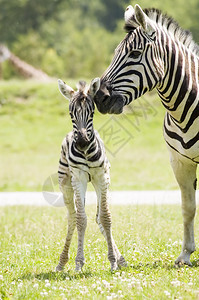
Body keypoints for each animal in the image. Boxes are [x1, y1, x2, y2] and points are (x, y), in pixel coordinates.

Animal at [56, 78, 126, 272]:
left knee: (98, 217)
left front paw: (113, 261)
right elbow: (81, 219)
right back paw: (62, 262)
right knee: (72, 217)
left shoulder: (101, 178)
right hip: (66, 183)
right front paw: (79, 263)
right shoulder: (79, 178)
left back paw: (120, 259)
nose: (81, 141)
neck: (86, 152)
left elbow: (105, 217)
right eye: (71, 113)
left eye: (92, 112)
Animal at [94, 4, 199, 268]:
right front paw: (185, 254)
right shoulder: (179, 161)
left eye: (135, 54)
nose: (99, 98)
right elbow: (188, 207)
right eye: (115, 53)